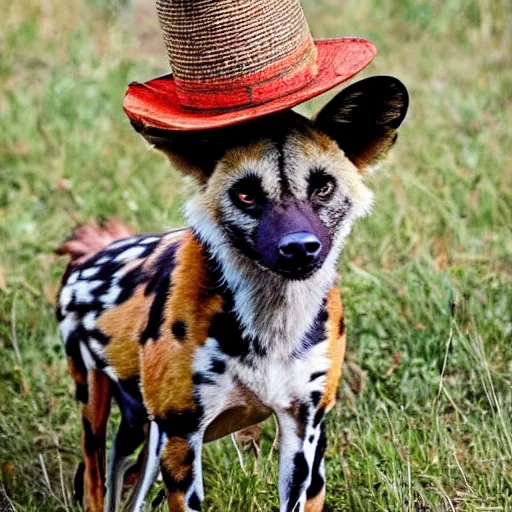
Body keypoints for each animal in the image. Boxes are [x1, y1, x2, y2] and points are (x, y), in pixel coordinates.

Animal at [56, 77, 408, 512]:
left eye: (323, 187)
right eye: (246, 195)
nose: (299, 248)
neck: (273, 326)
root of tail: (93, 253)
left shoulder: (306, 434)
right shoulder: (182, 438)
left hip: (145, 433)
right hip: (101, 411)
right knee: (97, 480)